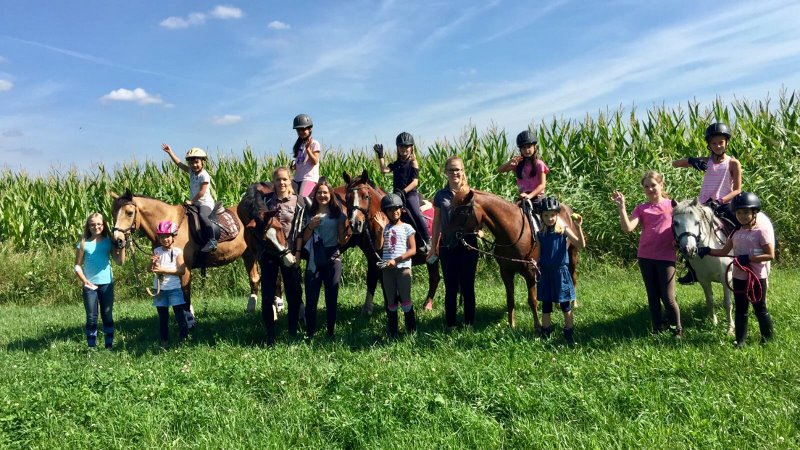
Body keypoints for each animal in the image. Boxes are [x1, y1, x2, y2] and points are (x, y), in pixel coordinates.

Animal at [111, 191, 260, 323]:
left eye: (129, 213)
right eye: (112, 213)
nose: (117, 240)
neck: (172, 225)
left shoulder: (185, 268)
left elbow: (185, 294)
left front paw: (189, 319)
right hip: (248, 255)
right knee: (254, 278)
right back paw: (250, 309)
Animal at [340, 170, 441, 315]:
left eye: (365, 196)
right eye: (347, 198)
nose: (355, 223)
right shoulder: (373, 259)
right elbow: (371, 280)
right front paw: (367, 310)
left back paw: (427, 305)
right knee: (435, 277)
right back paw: (427, 304)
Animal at [448, 189, 580, 331]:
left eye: (461, 212)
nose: (448, 238)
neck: (513, 231)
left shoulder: (530, 272)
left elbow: (532, 300)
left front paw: (537, 325)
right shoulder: (506, 272)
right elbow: (510, 299)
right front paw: (511, 325)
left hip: (572, 254)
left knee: (573, 276)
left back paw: (574, 304)